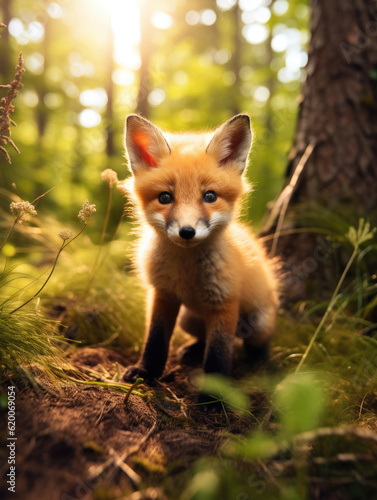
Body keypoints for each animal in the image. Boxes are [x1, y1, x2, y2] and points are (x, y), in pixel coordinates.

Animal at [122, 114, 278, 402]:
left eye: (210, 196)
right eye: (165, 197)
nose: (186, 231)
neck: (186, 274)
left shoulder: (225, 301)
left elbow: (218, 354)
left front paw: (213, 398)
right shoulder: (163, 294)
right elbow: (155, 341)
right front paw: (146, 372)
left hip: (259, 323)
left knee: (251, 344)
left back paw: (258, 363)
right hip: (189, 319)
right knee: (204, 337)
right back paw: (192, 350)